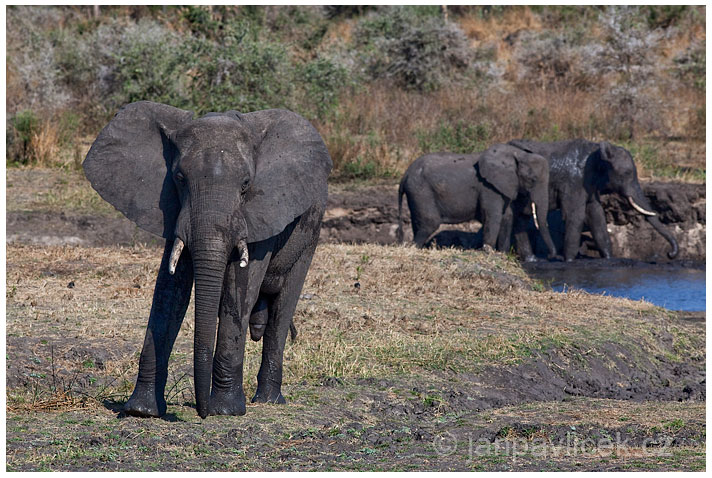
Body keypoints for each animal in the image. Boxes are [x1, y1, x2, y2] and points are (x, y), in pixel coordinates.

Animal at [82, 101, 332, 418]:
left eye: (246, 184)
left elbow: (241, 285)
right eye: (179, 179)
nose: (201, 412)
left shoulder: (262, 211)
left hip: (312, 229)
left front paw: (225, 411)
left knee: (283, 306)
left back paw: (268, 400)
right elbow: (169, 290)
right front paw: (142, 410)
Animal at [398, 143, 560, 262]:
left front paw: (502, 254)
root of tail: (404, 175)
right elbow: (493, 217)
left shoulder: (502, 187)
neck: (517, 154)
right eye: (532, 179)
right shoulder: (488, 187)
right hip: (421, 190)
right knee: (430, 223)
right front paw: (489, 251)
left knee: (418, 223)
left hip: (416, 193)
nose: (551, 256)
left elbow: (507, 217)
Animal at [506, 138, 680, 262]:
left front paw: (608, 259)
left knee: (520, 219)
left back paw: (531, 260)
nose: (670, 254)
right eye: (626, 174)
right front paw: (569, 261)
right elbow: (575, 217)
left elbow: (597, 216)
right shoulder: (574, 181)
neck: (597, 151)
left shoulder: (589, 184)